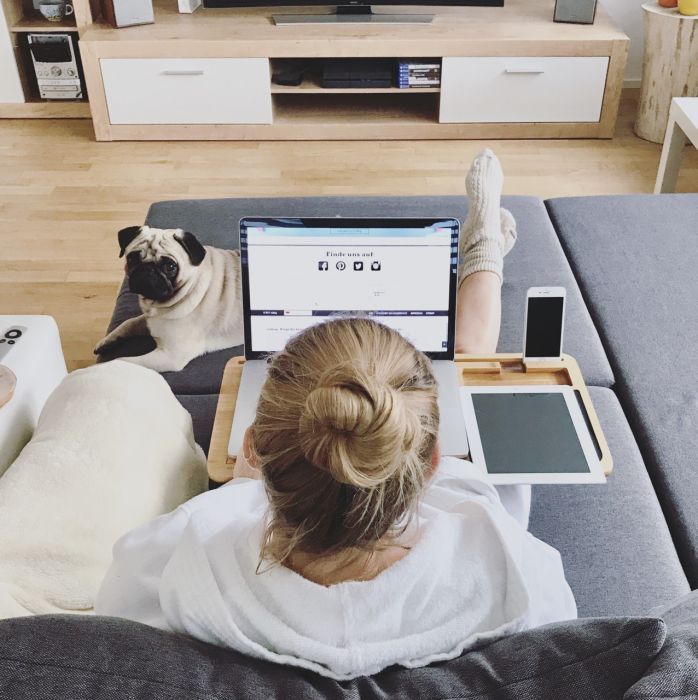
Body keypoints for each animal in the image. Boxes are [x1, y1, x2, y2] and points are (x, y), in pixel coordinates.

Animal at [94, 227, 243, 374]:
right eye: (132, 259)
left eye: (170, 267)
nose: (147, 269)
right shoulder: (149, 320)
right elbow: (129, 323)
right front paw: (107, 341)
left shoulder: (170, 356)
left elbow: (123, 360)